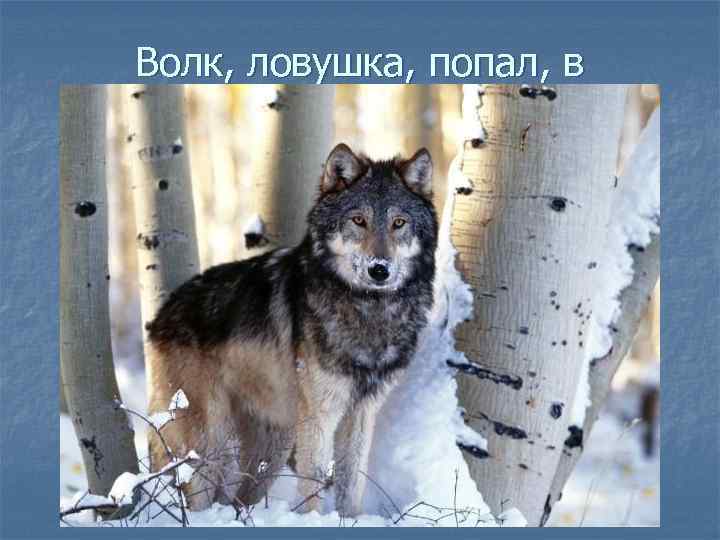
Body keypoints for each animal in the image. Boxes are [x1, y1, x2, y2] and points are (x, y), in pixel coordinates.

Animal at [146, 143, 438, 517]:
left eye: (398, 223)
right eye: (359, 220)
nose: (379, 269)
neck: (369, 310)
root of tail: (160, 317)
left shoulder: (362, 413)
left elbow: (351, 485)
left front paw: (349, 520)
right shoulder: (320, 415)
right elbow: (312, 486)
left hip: (272, 446)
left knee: (237, 500)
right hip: (210, 442)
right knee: (198, 496)